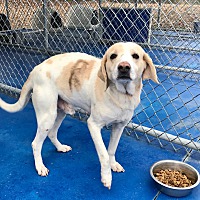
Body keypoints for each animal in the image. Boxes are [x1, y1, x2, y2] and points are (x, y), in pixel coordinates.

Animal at [0, 42, 159, 189]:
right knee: (35, 144)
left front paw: (113, 164)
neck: (121, 95)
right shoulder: (93, 125)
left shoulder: (119, 127)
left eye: (136, 56)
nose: (124, 67)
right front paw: (106, 177)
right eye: (113, 56)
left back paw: (60, 147)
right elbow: (104, 154)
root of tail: (35, 70)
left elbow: (112, 150)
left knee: (52, 133)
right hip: (47, 117)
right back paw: (40, 166)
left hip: (60, 113)